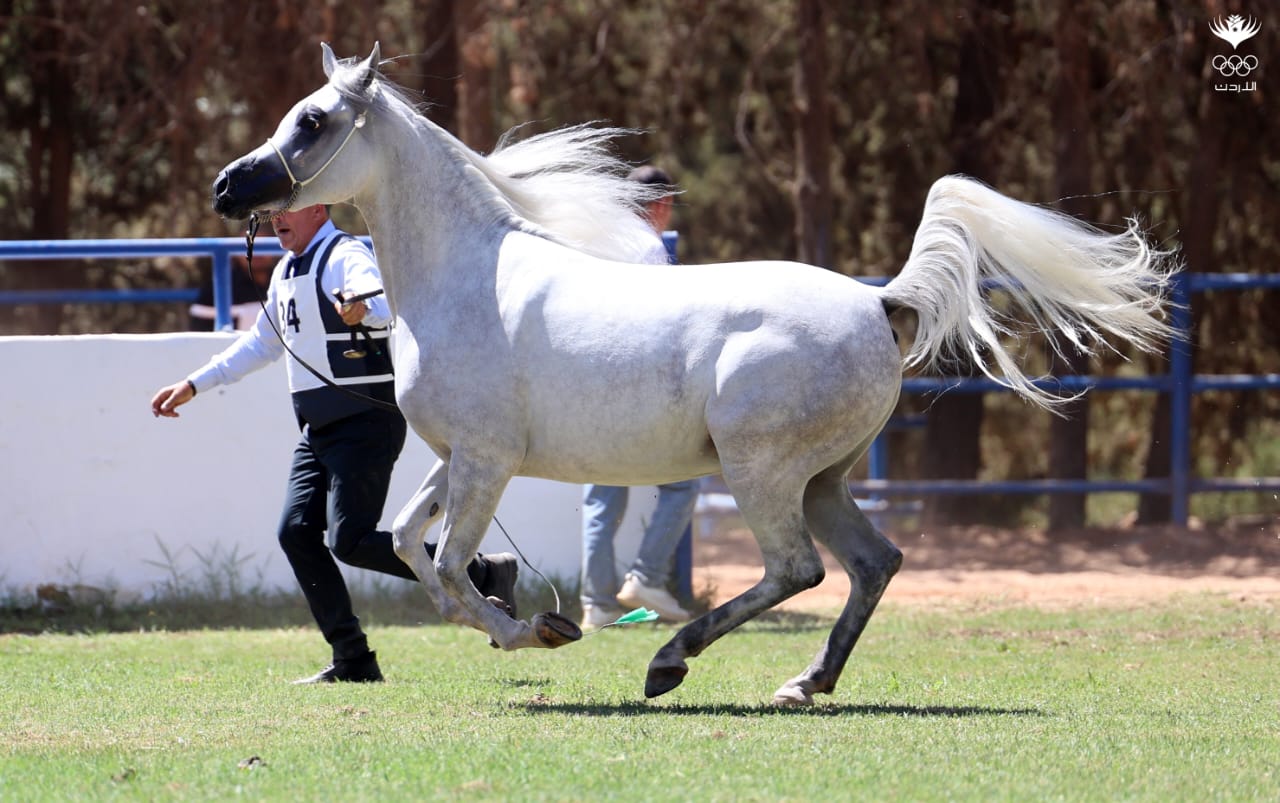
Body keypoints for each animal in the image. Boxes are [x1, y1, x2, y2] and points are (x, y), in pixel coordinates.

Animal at [215, 43, 1172, 701]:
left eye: (313, 121)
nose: (229, 187)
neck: (467, 276)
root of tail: (878, 305)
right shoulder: (459, 458)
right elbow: (414, 547)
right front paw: (521, 615)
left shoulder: (486, 460)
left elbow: (448, 565)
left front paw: (540, 631)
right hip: (823, 477)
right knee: (874, 562)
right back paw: (803, 682)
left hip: (761, 469)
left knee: (798, 571)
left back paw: (669, 661)